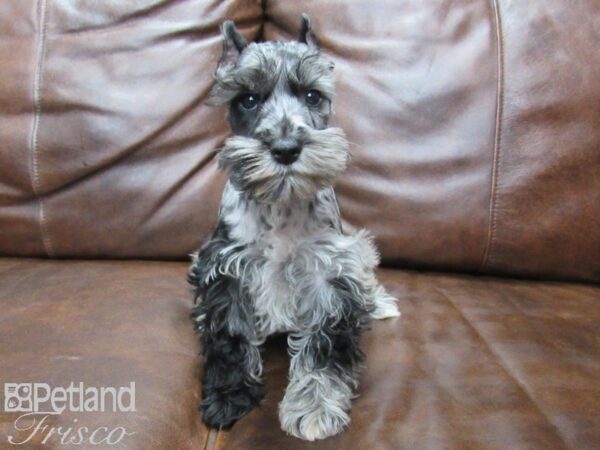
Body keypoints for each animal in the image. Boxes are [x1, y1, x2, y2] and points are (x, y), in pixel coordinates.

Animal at [188, 13, 400, 440]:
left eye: (313, 96)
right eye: (248, 99)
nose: (286, 149)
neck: (281, 208)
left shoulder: (328, 277)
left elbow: (323, 348)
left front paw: (314, 407)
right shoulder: (226, 271)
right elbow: (229, 336)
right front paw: (227, 397)